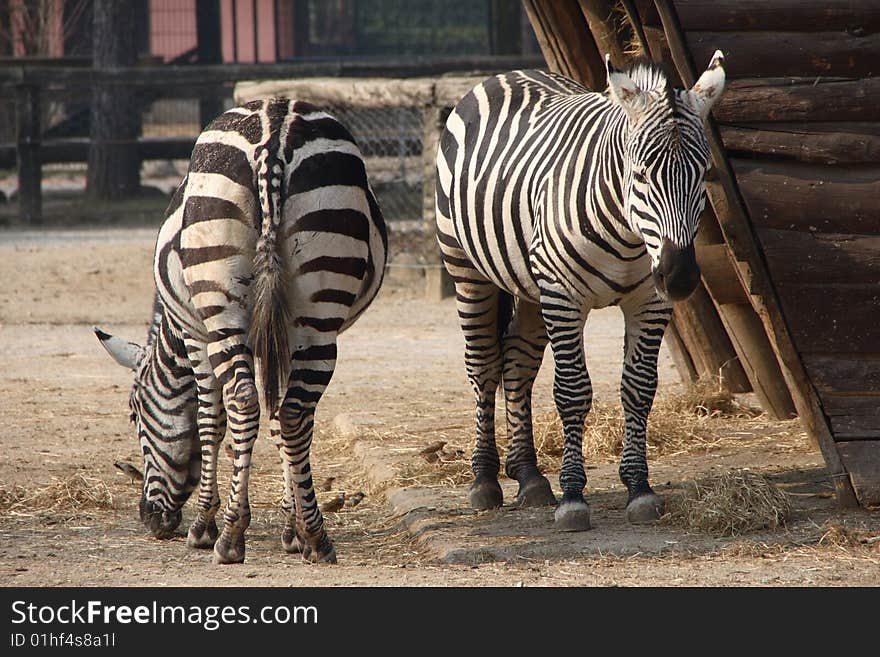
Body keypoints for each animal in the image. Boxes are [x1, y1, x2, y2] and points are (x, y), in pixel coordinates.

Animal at [94, 98, 386, 564]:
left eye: (134, 415)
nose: (150, 520)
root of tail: (275, 127)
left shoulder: (195, 335)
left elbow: (210, 420)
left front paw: (208, 521)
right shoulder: (278, 338)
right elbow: (277, 422)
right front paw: (290, 527)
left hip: (222, 307)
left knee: (243, 400)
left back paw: (228, 537)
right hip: (318, 312)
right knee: (294, 411)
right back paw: (315, 536)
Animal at [436, 53, 724, 532]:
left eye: (703, 175)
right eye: (640, 174)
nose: (680, 277)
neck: (628, 235)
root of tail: (507, 73)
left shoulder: (649, 302)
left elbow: (638, 387)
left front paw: (639, 487)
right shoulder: (563, 296)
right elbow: (571, 391)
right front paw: (573, 496)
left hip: (530, 288)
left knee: (517, 364)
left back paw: (530, 477)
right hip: (467, 269)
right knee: (484, 365)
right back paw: (484, 480)